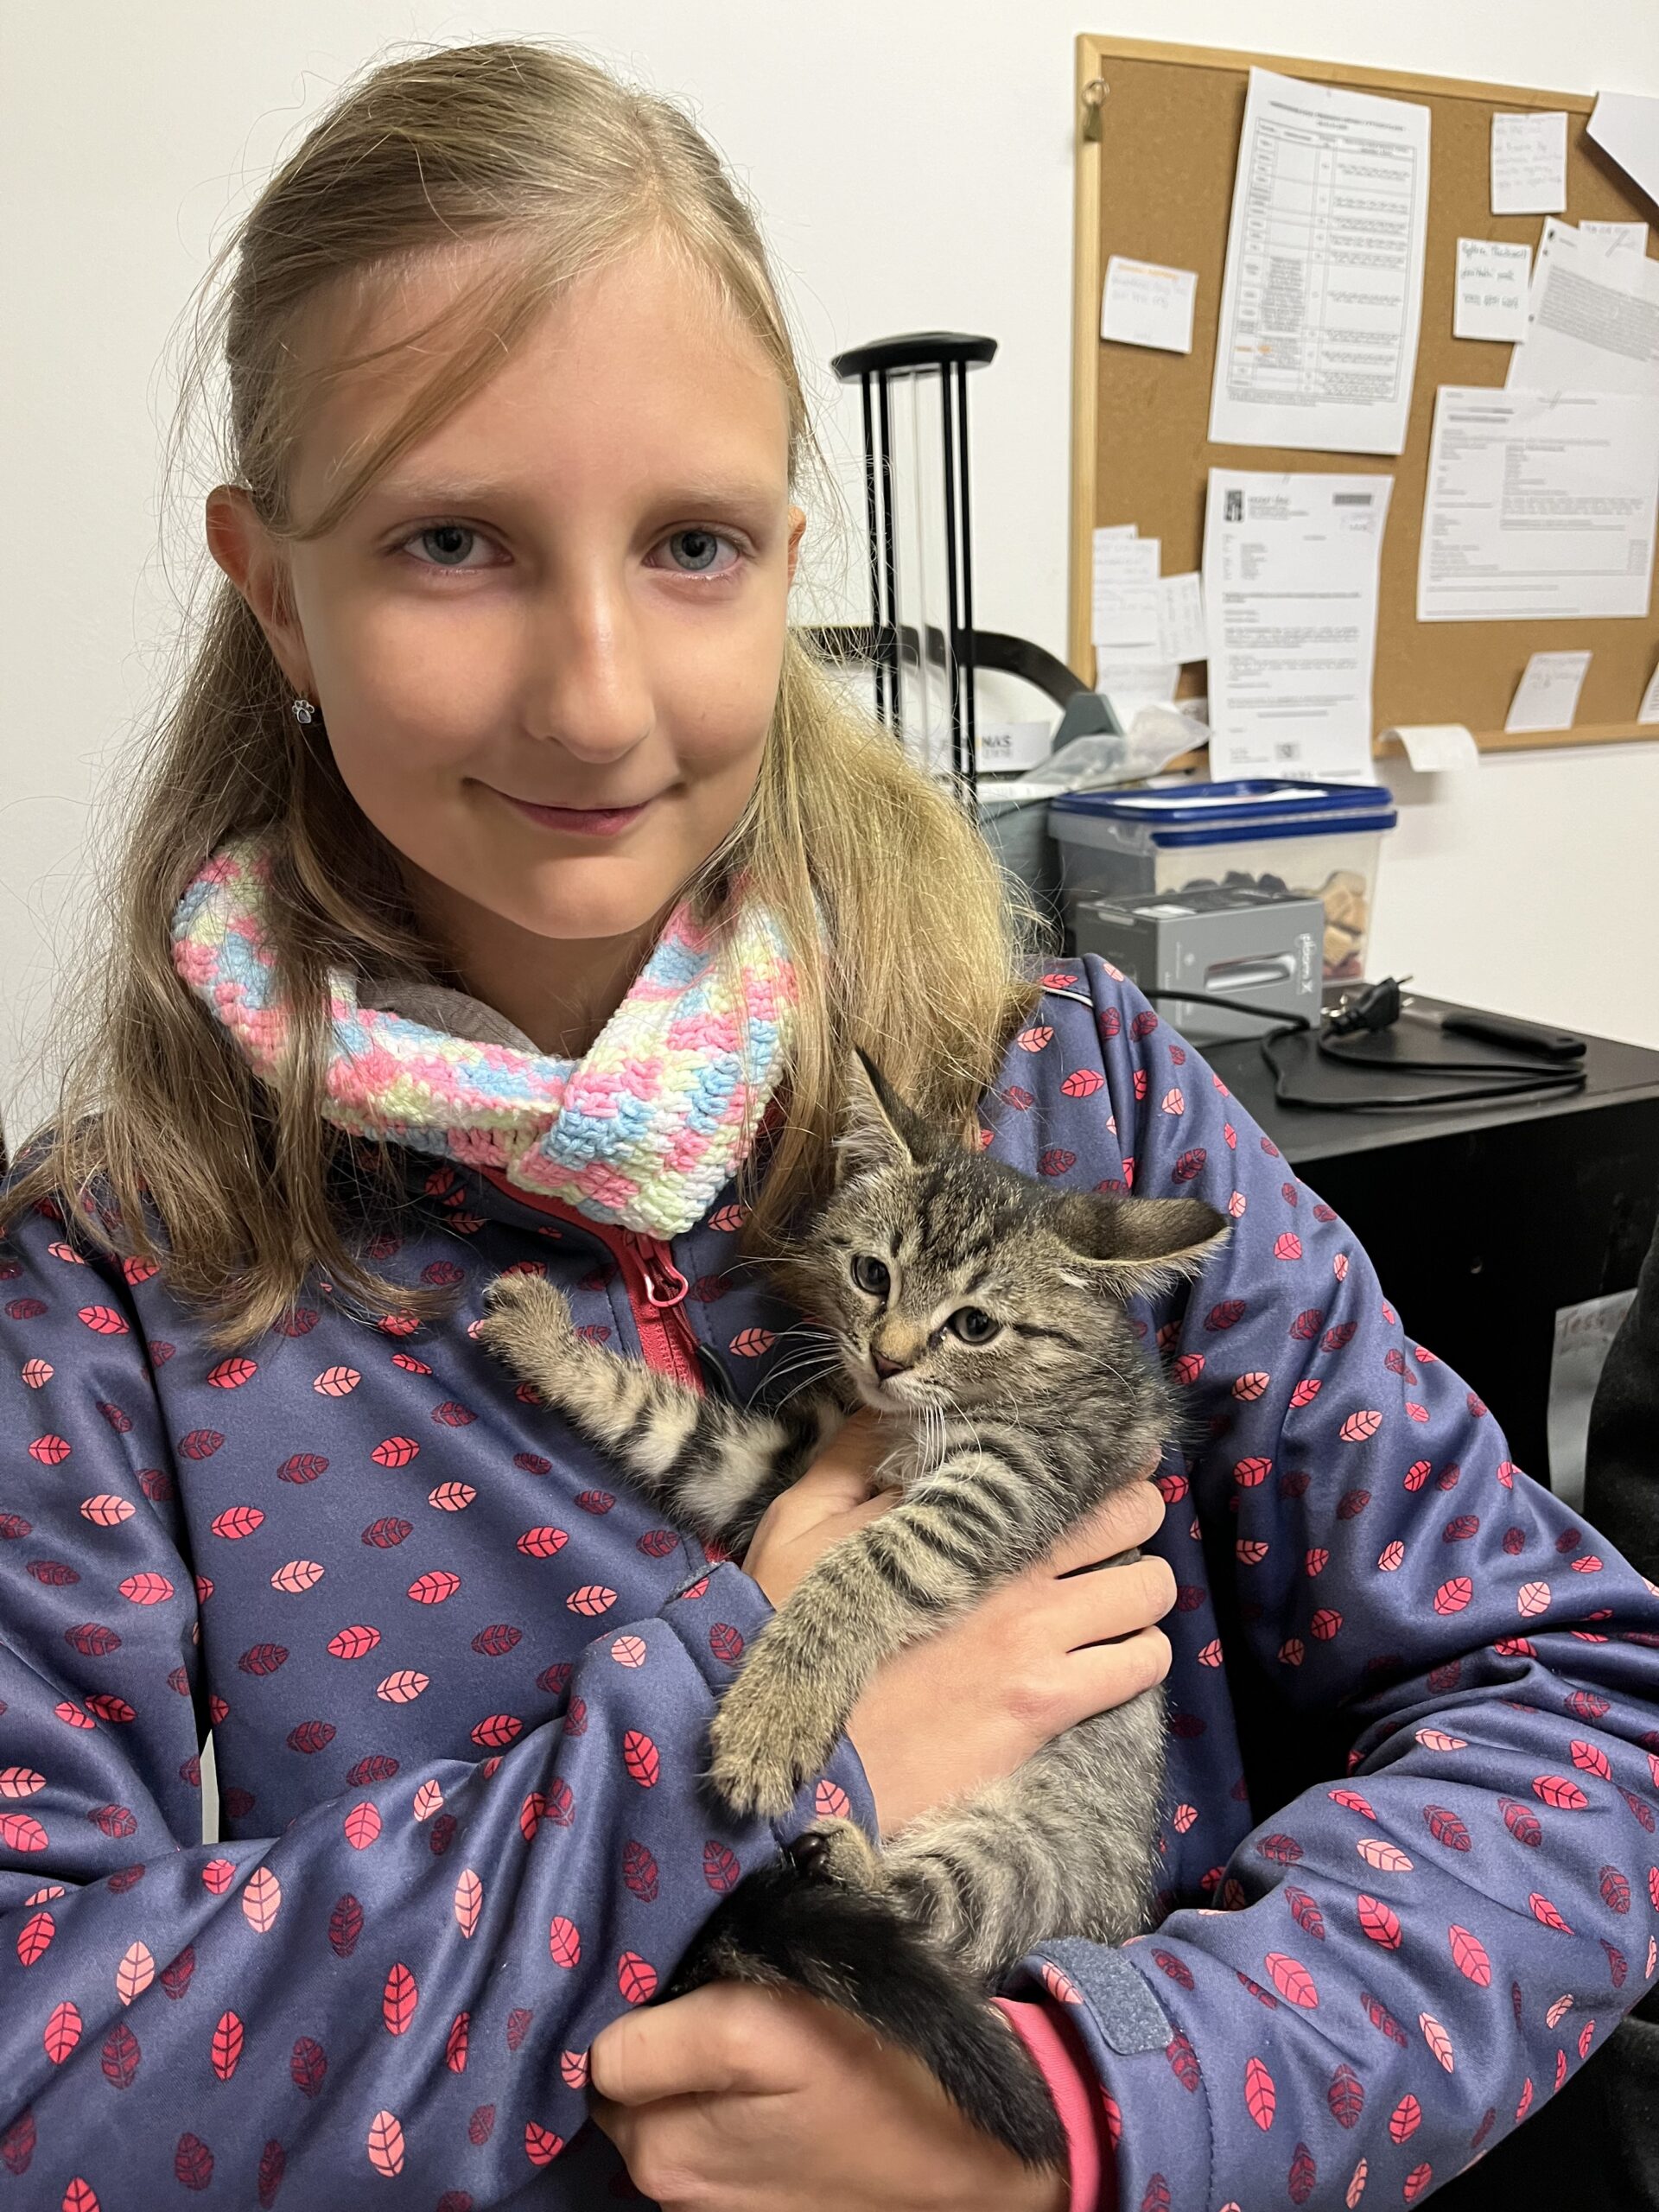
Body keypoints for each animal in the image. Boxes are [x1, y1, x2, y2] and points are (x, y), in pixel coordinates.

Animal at [478, 1049, 1227, 2168]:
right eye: (873, 1273)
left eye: (974, 1323)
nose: (887, 1355)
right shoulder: (773, 1462)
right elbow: (673, 1426)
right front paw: (548, 1343)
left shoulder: (1018, 1476)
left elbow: (870, 1561)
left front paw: (768, 1716)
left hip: (1030, 1860)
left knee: (954, 1922)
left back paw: (853, 1862)